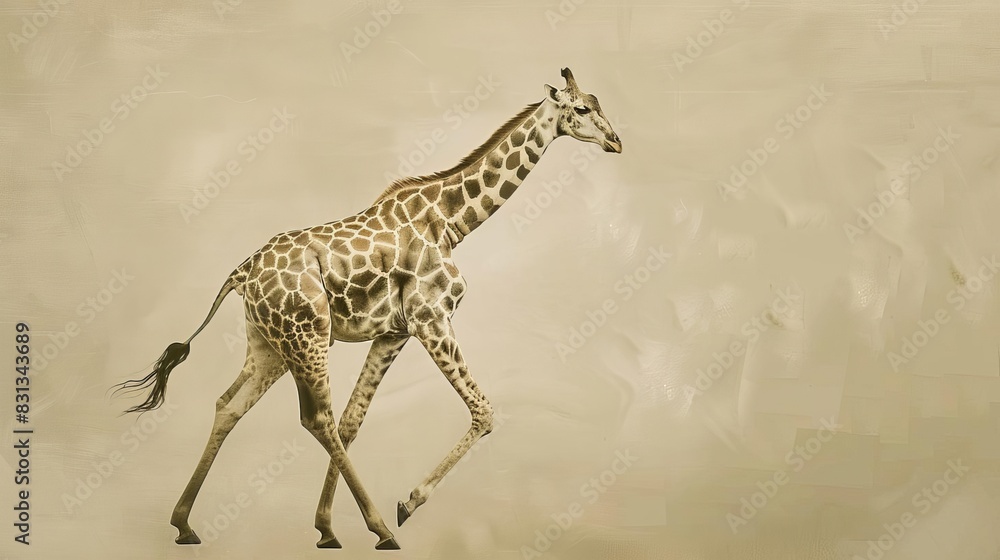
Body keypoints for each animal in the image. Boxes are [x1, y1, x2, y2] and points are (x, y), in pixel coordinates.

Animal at [113, 67, 621, 550]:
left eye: (598, 103)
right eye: (580, 107)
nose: (616, 141)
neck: (451, 221)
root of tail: (242, 273)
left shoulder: (393, 331)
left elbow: (353, 420)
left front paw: (325, 524)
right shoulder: (431, 317)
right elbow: (483, 411)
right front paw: (406, 504)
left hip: (269, 345)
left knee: (229, 405)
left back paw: (186, 524)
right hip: (307, 338)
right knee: (314, 418)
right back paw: (380, 528)